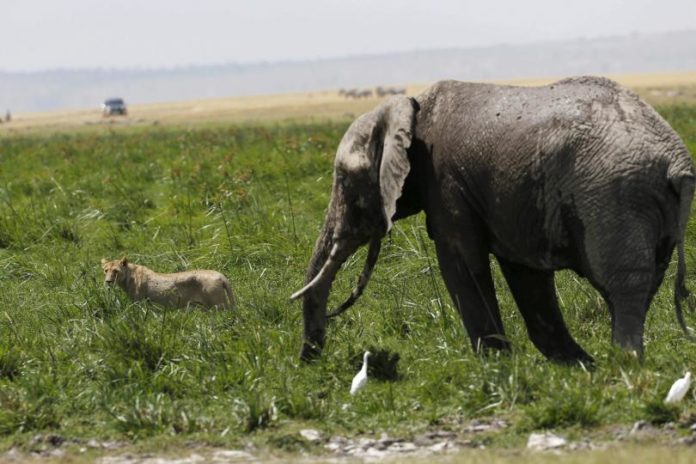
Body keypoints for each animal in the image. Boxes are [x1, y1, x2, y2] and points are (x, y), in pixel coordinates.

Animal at [290, 76, 692, 364]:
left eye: (344, 181)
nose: (309, 360)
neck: (411, 105)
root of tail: (677, 163)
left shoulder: (446, 183)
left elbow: (461, 262)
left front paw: (497, 367)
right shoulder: (511, 202)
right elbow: (525, 273)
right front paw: (576, 367)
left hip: (613, 195)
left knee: (622, 285)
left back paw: (623, 365)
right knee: (642, 283)